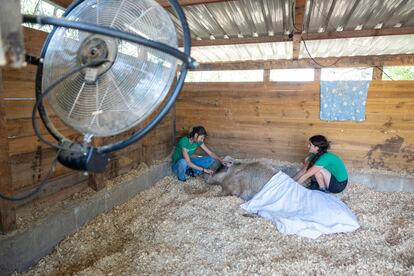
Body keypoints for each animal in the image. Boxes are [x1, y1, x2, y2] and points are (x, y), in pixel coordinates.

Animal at [204, 158, 360, 238]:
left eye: (219, 167)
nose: (206, 174)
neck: (231, 173)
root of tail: (354, 221)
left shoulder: (232, 188)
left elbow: (221, 194)